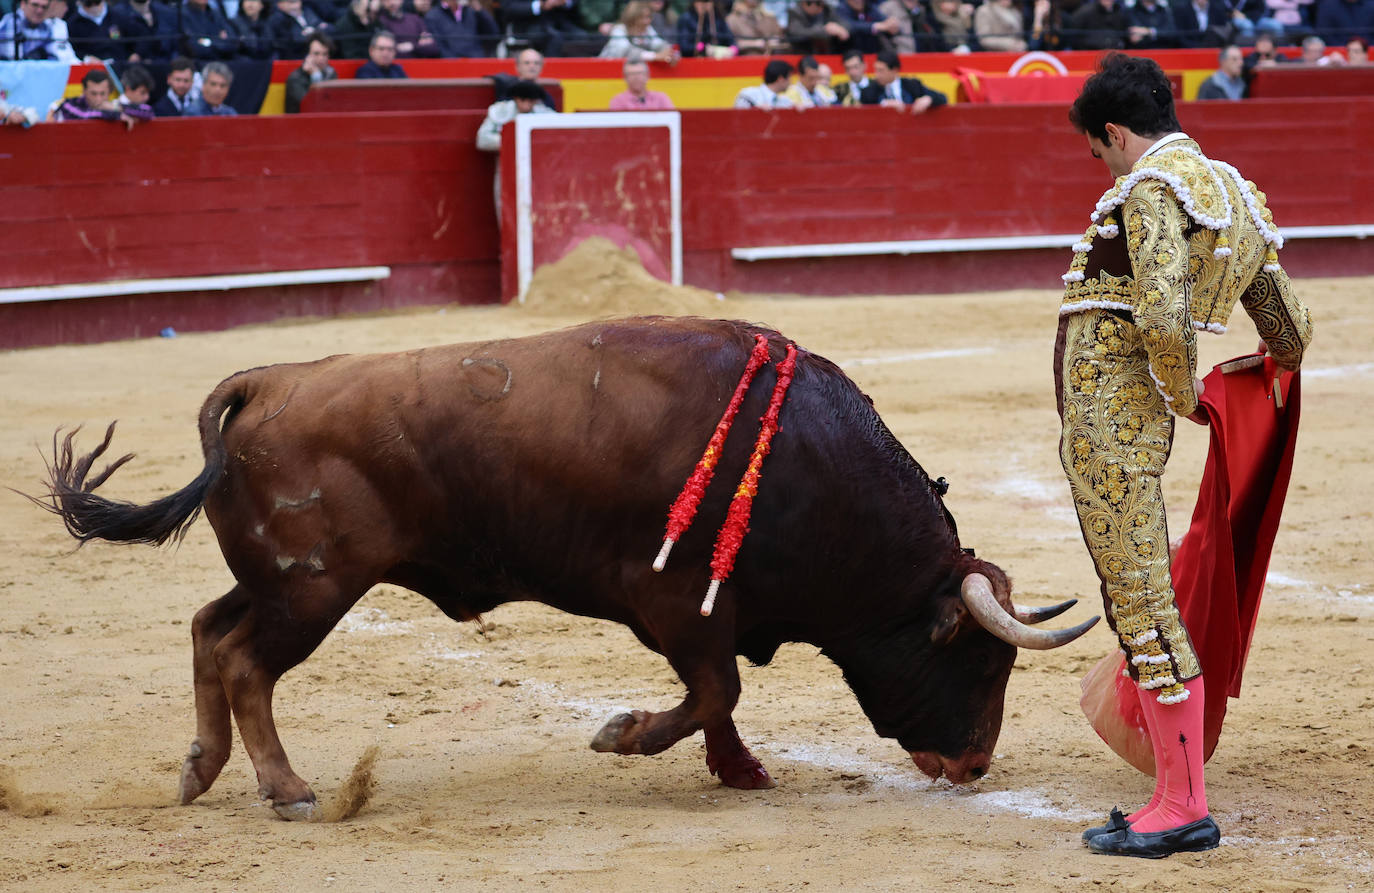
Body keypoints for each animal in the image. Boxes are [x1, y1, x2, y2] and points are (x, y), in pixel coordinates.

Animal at [34, 315, 1093, 818]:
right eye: (982, 658)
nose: (975, 763)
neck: (807, 466)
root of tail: (264, 381)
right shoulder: (678, 604)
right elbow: (715, 689)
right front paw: (623, 735)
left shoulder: (704, 613)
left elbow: (721, 697)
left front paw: (740, 770)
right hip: (314, 588)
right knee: (246, 660)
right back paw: (289, 788)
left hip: (278, 580)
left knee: (209, 629)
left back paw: (199, 769)